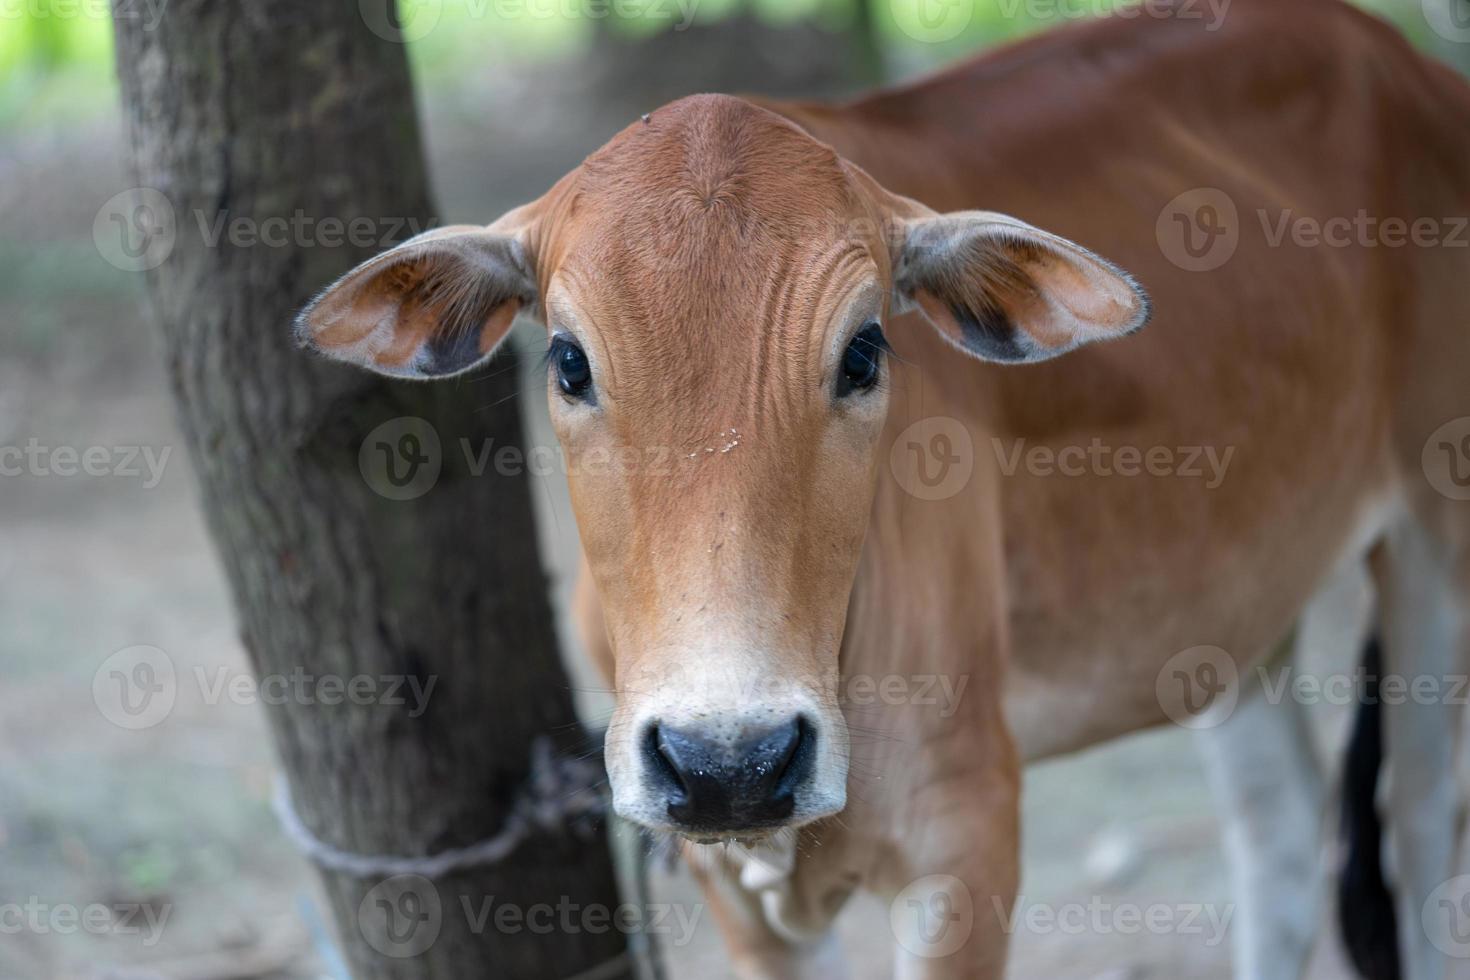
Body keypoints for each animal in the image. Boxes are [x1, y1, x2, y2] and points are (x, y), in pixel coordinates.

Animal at [298, 3, 1470, 975]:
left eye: (863, 351)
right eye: (570, 362)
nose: (732, 760)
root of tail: (1405, 62)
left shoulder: (967, 835)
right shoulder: (728, 886)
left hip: (1435, 550)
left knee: (1419, 836)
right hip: (1228, 610)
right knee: (1283, 834)